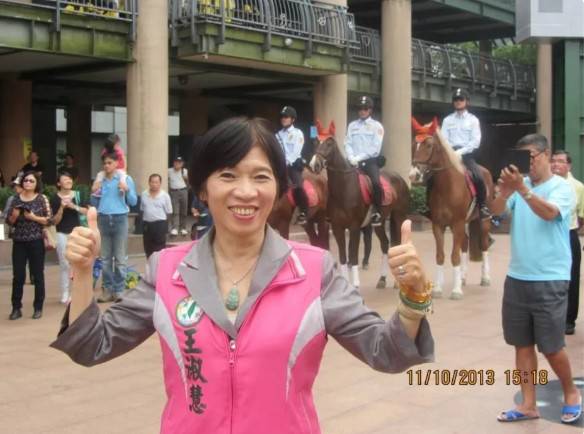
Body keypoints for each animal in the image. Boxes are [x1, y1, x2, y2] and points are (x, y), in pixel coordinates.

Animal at [309, 120, 410, 289]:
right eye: (315, 142)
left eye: (329, 143)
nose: (314, 165)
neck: (344, 188)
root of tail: (399, 177)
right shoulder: (337, 227)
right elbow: (343, 257)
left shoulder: (354, 226)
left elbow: (353, 255)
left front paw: (355, 284)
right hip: (379, 222)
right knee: (385, 244)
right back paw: (382, 279)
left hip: (399, 216)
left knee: (397, 244)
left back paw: (397, 282)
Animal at [410, 117, 494, 299]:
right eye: (414, 144)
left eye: (429, 145)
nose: (414, 175)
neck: (447, 186)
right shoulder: (438, 225)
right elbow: (440, 256)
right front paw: (438, 289)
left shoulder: (457, 223)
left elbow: (454, 256)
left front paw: (456, 291)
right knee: (466, 244)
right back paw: (462, 277)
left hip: (483, 222)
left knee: (484, 245)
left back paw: (485, 278)